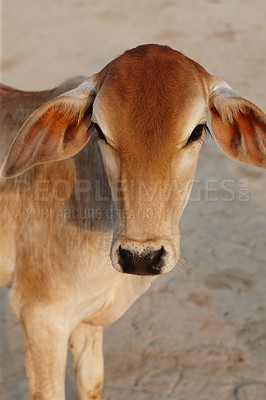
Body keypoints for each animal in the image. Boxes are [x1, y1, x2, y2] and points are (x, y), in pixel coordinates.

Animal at [0, 44, 264, 400]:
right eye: (99, 130)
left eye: (197, 131)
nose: (140, 257)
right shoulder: (41, 315)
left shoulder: (86, 319)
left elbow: (91, 380)